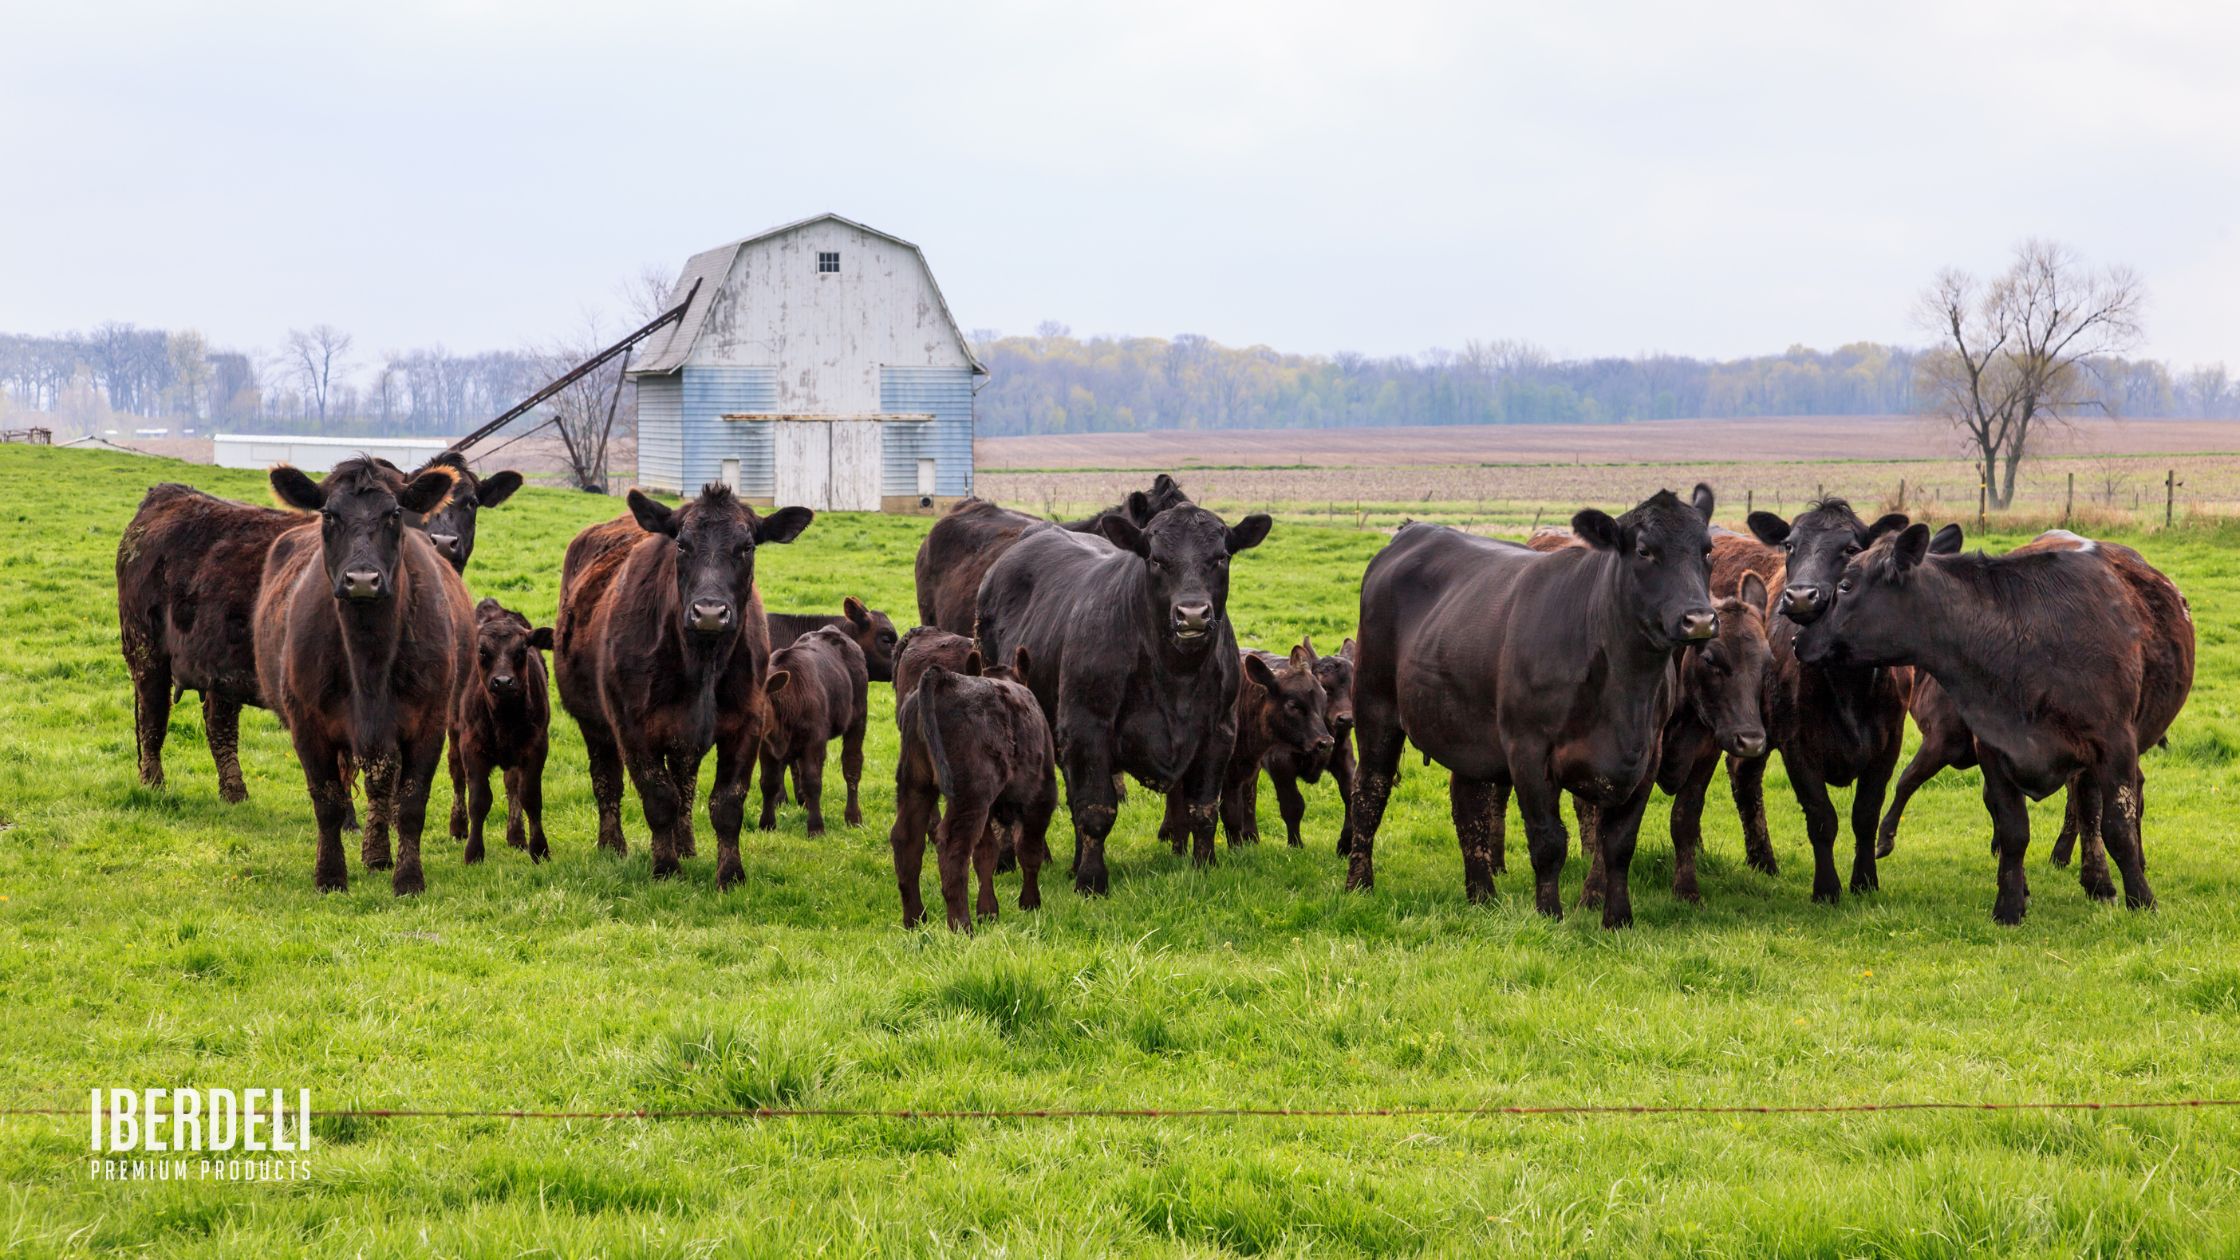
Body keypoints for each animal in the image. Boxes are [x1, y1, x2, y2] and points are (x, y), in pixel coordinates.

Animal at [249, 455, 468, 887]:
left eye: (395, 513)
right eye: (329, 514)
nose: (362, 580)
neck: (369, 660)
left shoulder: (429, 721)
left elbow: (410, 803)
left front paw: (408, 879)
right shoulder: (307, 723)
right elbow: (328, 802)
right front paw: (330, 876)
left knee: (381, 786)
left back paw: (378, 855)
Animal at [445, 596, 551, 860]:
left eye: (521, 650)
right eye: (483, 651)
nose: (503, 682)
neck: (504, 717)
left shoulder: (536, 745)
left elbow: (529, 796)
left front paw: (539, 848)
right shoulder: (471, 746)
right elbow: (479, 800)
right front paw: (473, 852)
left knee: (512, 784)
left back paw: (516, 835)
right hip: (453, 727)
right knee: (457, 773)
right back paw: (458, 826)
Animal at [553, 479, 815, 883]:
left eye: (747, 546)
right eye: (682, 544)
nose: (709, 612)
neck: (701, 661)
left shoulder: (748, 722)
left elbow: (726, 803)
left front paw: (730, 874)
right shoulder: (631, 726)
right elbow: (659, 797)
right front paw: (665, 867)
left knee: (685, 785)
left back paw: (687, 846)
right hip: (593, 722)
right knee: (607, 780)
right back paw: (613, 845)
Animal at [752, 623, 864, 829]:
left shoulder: (814, 741)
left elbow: (813, 782)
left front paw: (816, 827)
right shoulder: (766, 746)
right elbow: (768, 782)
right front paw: (767, 824)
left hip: (858, 719)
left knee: (852, 764)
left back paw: (853, 817)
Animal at [891, 650, 1057, 928]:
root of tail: (947, 679)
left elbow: (985, 854)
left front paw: (988, 912)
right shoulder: (1041, 798)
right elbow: (1029, 850)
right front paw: (1030, 903)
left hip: (915, 783)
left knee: (907, 838)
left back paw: (915, 919)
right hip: (970, 794)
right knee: (953, 845)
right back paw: (961, 925)